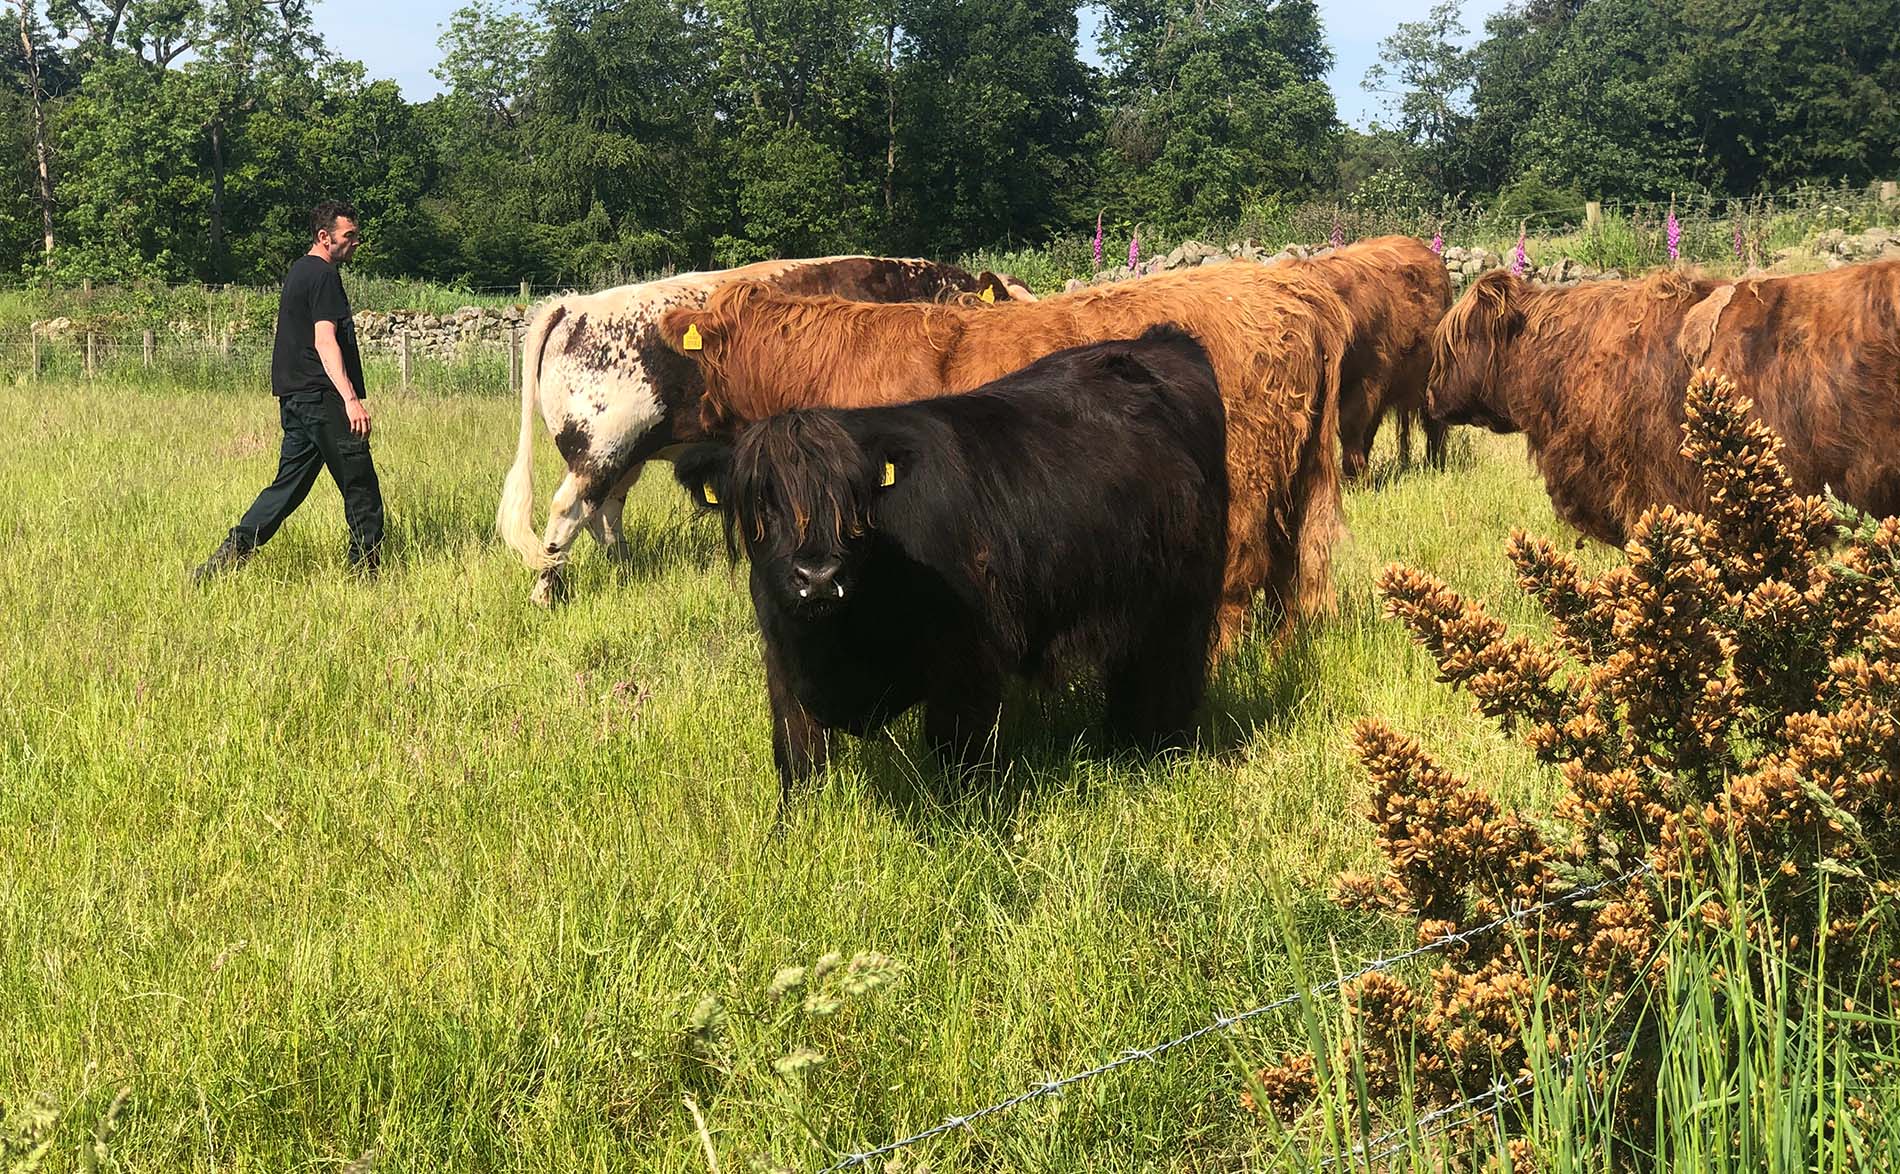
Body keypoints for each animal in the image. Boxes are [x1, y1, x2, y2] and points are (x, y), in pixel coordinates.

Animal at [490, 256, 1026, 604]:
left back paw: (624, 569)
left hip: (625, 456)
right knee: (568, 512)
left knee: (605, 514)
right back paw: (547, 591)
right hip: (599, 451)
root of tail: (574, 306)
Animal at [676, 324, 1238, 794]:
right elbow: (796, 759)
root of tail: (1158, 340)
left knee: (1170, 675)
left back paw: (1160, 751)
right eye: (759, 501)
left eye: (856, 499)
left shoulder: (966, 662)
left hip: (1182, 600)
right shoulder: (783, 666)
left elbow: (957, 754)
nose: (817, 576)